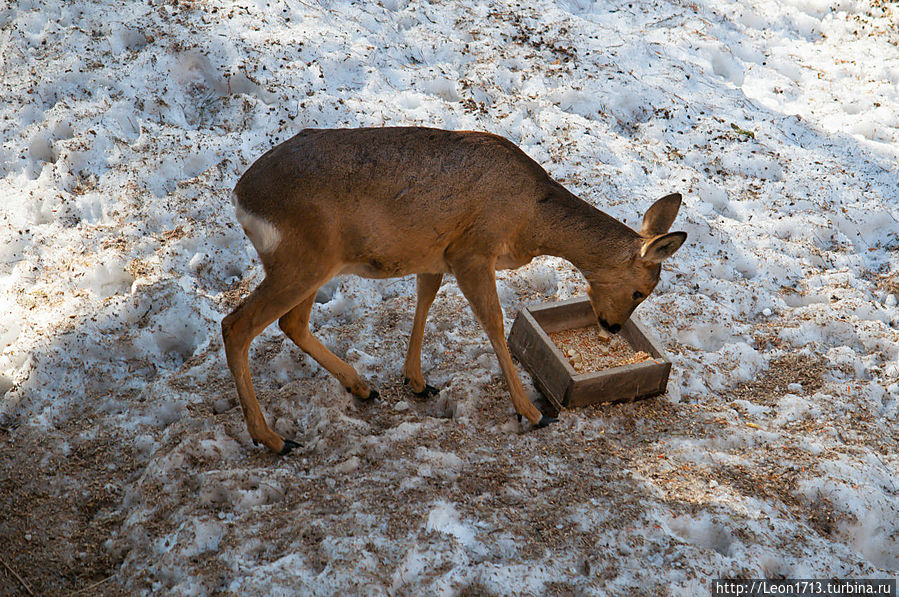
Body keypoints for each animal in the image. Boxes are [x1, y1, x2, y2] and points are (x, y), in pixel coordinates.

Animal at [225, 125, 688, 452]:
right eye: (641, 291)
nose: (611, 327)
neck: (529, 221)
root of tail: (241, 198)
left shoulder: (435, 254)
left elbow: (425, 299)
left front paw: (417, 381)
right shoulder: (473, 251)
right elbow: (494, 322)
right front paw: (532, 413)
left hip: (311, 265)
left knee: (291, 322)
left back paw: (361, 387)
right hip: (303, 261)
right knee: (237, 325)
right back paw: (274, 439)